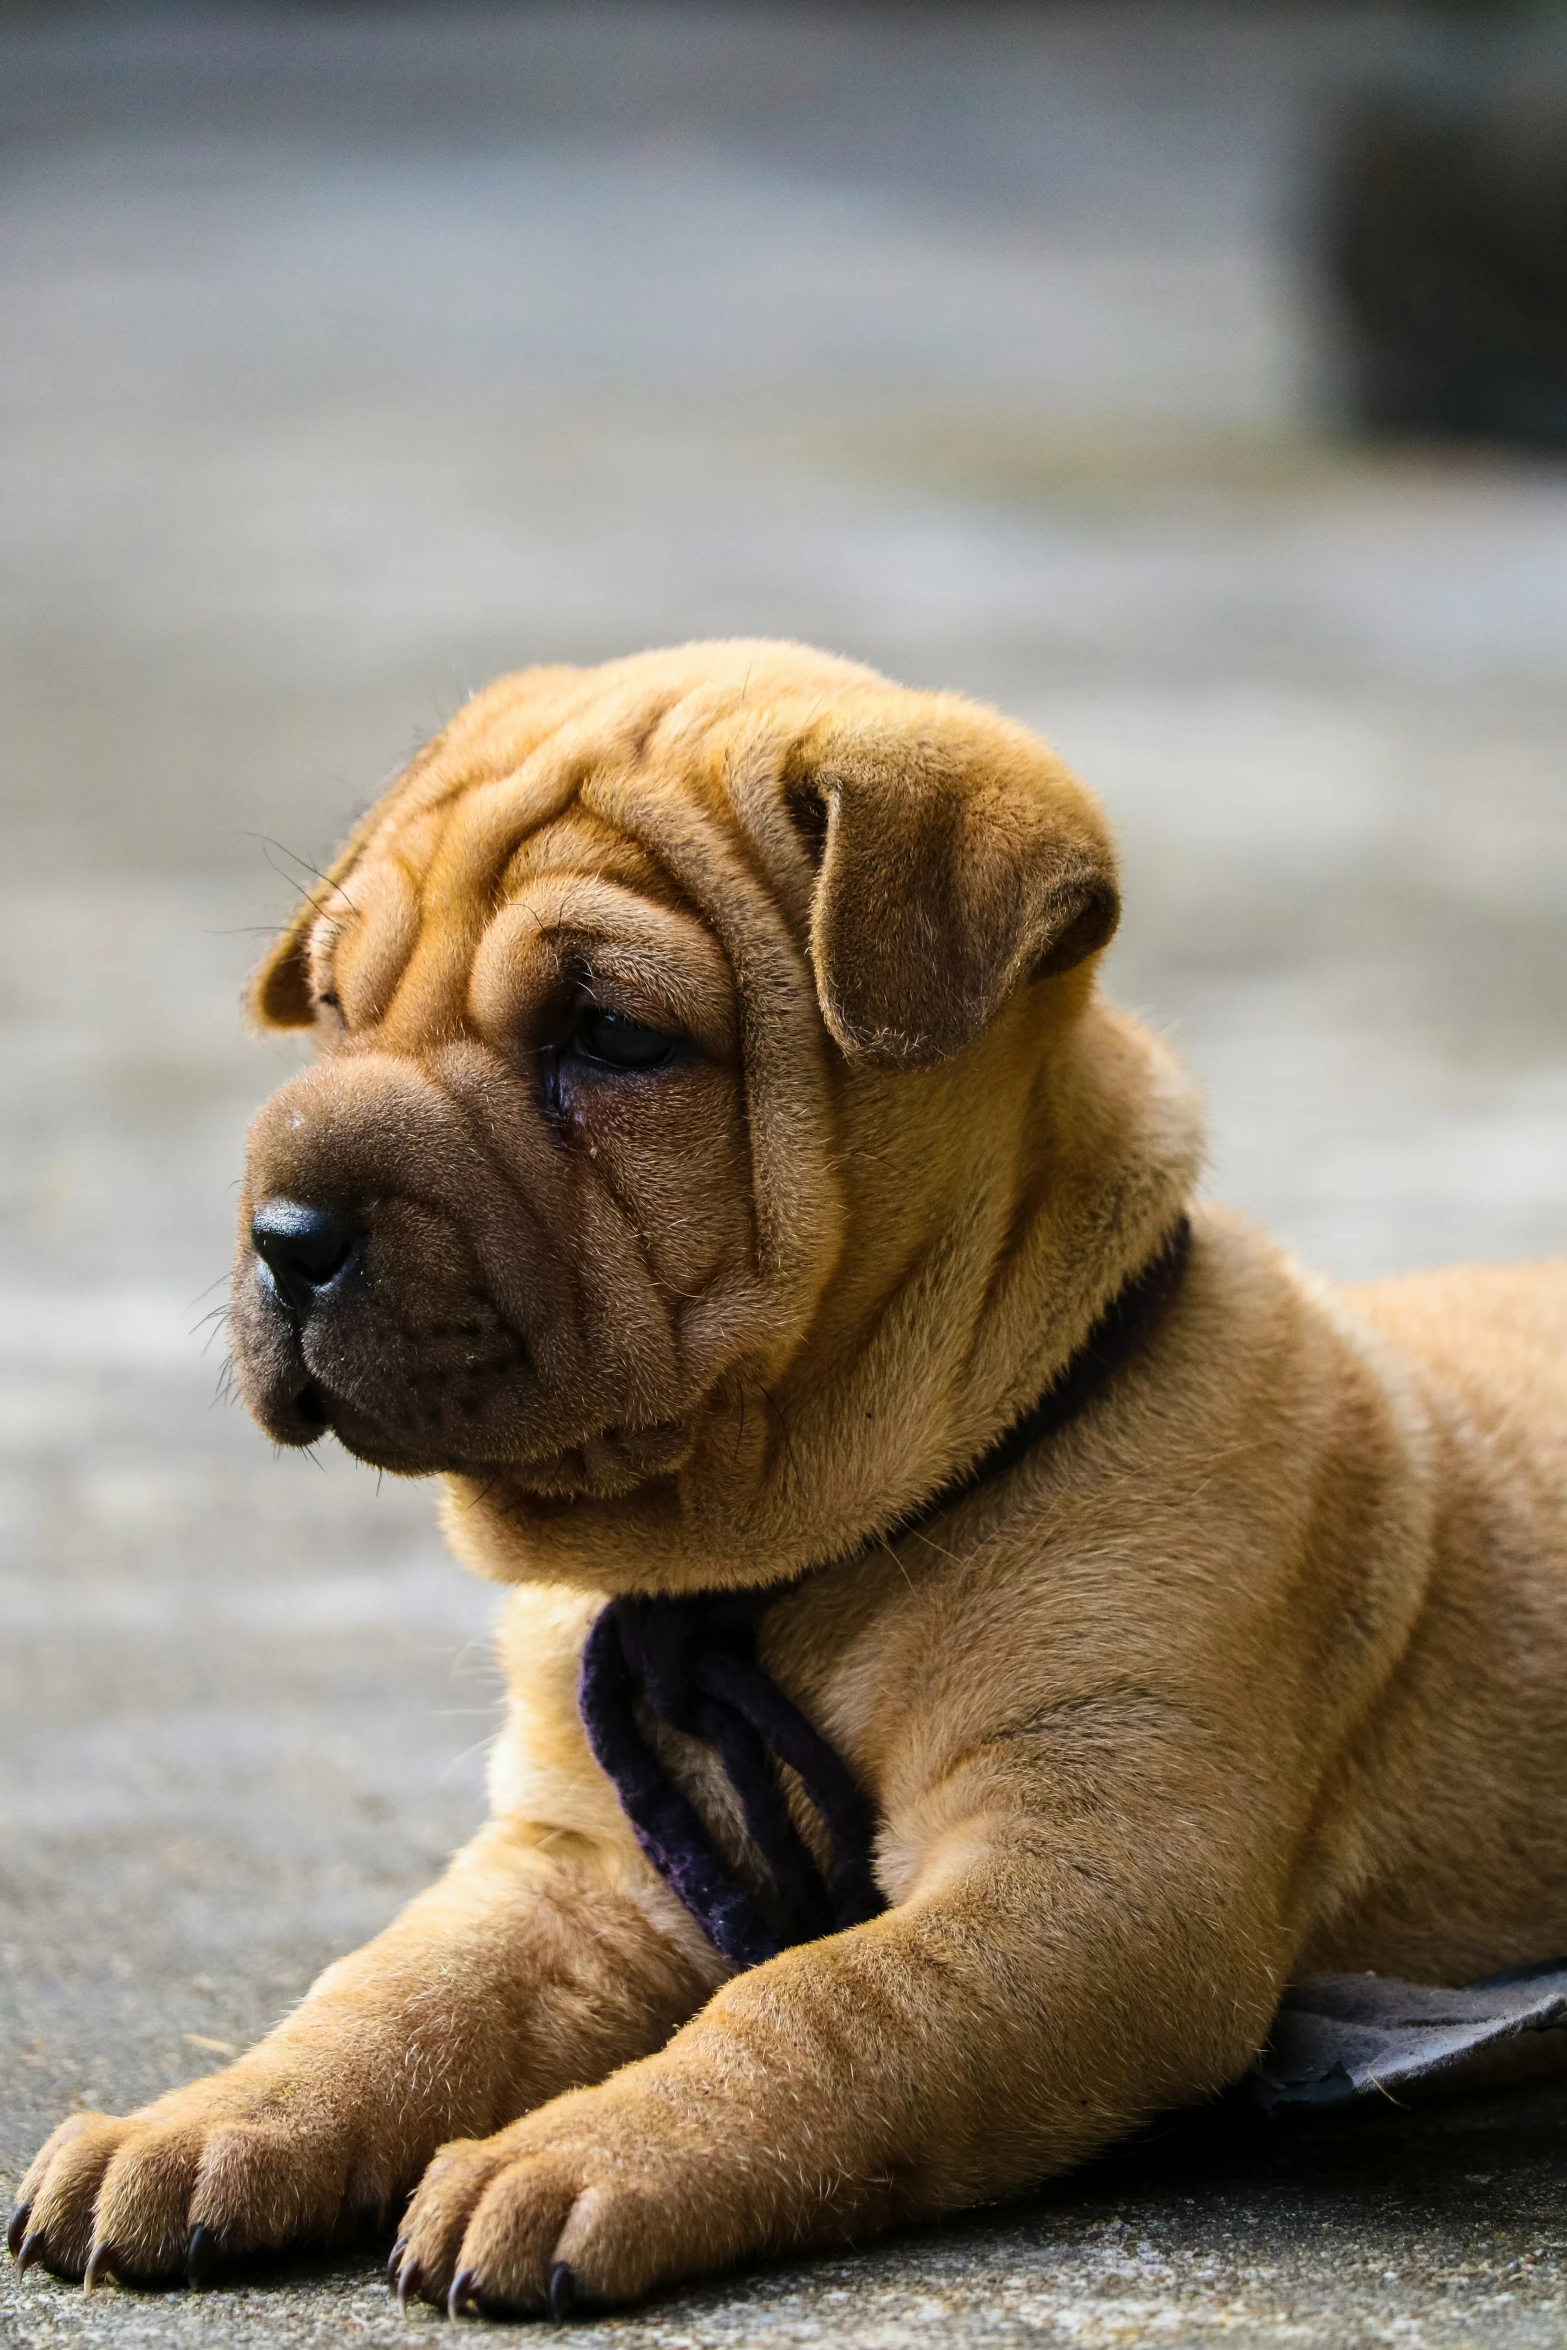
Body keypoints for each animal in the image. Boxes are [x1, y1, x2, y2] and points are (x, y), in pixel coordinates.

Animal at [15, 643, 1567, 2312]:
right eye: (331, 1007)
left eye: (610, 1036)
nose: (285, 1233)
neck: (761, 1563)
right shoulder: (578, 1864)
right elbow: (389, 1995)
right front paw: (208, 2119)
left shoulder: (1095, 1873)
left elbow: (831, 2005)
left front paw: (581, 2151)